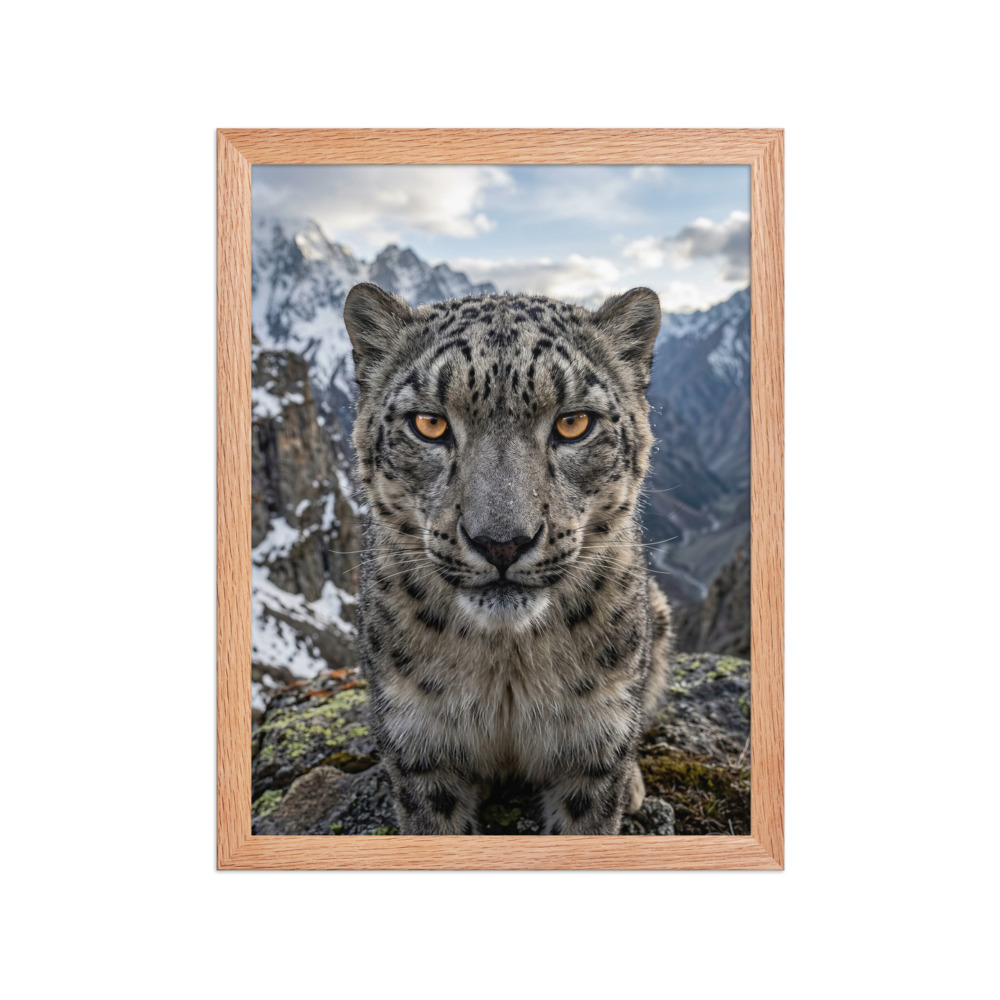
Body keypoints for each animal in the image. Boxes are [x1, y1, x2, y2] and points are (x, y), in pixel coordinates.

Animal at [343, 282, 673, 835]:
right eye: (429, 424)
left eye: (574, 423)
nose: (502, 542)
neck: (506, 668)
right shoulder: (420, 747)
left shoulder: (592, 746)